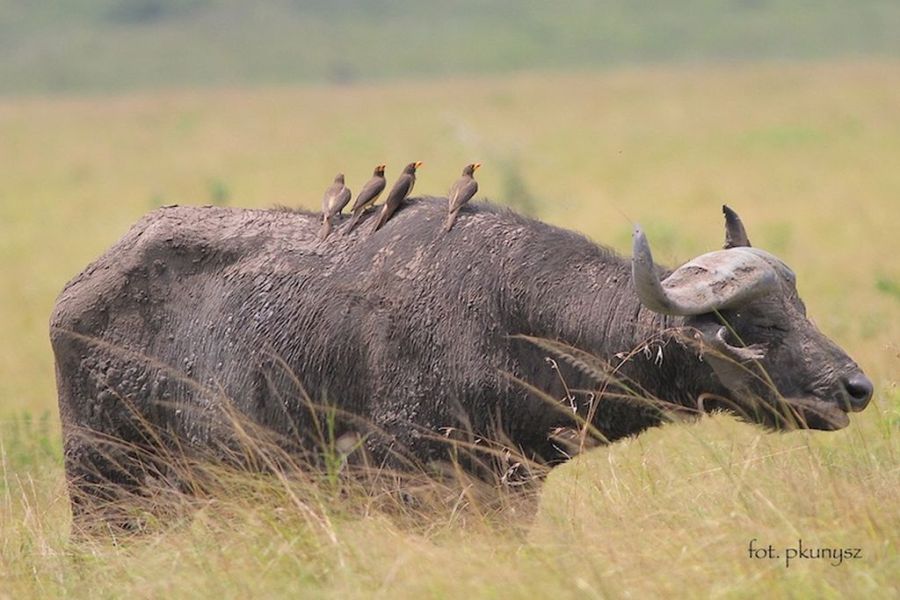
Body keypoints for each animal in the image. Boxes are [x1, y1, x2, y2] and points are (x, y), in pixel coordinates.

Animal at [49, 198, 872, 520]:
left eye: (801, 309)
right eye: (756, 323)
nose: (856, 387)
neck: (509, 322)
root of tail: (73, 297)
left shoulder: (512, 492)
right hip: (106, 491)